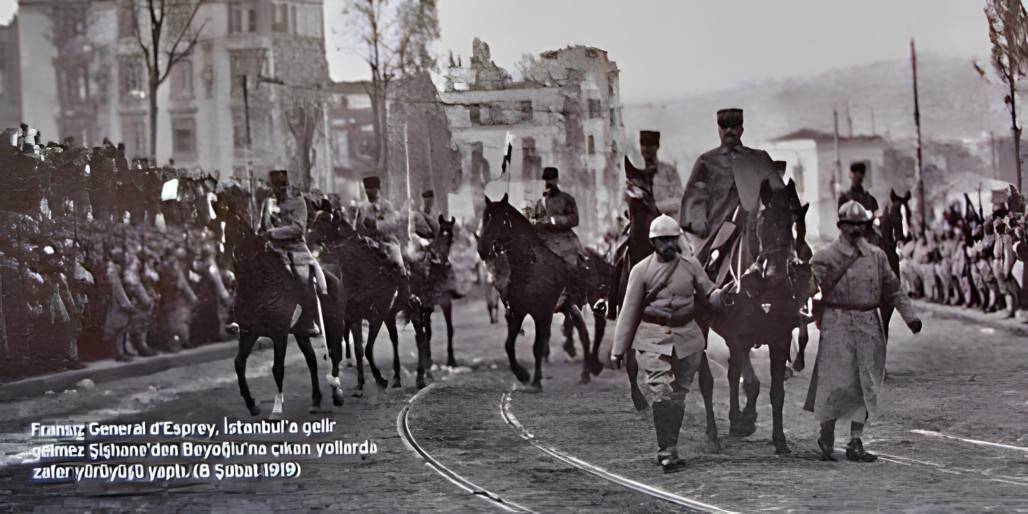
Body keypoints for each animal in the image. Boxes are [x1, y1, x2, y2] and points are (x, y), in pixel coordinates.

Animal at [214, 193, 326, 417]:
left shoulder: (279, 333)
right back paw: (316, 400)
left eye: (233, 231)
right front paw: (251, 404)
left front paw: (276, 410)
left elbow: (277, 369)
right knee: (311, 360)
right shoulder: (249, 331)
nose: (227, 276)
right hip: (300, 333)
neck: (259, 286)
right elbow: (239, 363)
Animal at [472, 193, 596, 388]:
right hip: (570, 307)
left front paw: (536, 381)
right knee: (582, 333)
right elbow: (509, 345)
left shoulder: (542, 313)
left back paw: (586, 371)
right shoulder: (517, 312)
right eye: (485, 218)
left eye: (498, 219)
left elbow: (537, 347)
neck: (530, 266)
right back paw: (584, 372)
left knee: (583, 335)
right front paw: (522, 374)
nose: (482, 249)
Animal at [719, 179, 814, 454]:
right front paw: (744, 420)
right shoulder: (736, 336)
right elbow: (749, 380)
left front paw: (780, 439)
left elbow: (777, 392)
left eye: (795, 224)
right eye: (763, 220)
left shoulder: (779, 338)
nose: (777, 276)